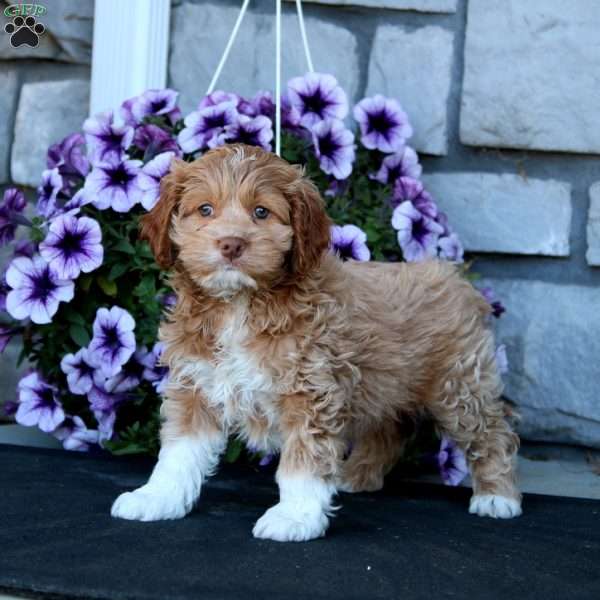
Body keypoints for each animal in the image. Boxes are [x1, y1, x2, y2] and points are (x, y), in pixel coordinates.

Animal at [111, 144, 520, 540]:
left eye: (261, 212)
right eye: (205, 209)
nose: (231, 244)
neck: (240, 303)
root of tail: (452, 277)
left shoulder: (310, 390)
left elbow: (302, 464)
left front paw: (294, 517)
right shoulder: (196, 384)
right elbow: (178, 451)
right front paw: (157, 497)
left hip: (460, 385)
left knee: (491, 433)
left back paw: (497, 495)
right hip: (387, 386)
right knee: (390, 430)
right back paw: (356, 475)